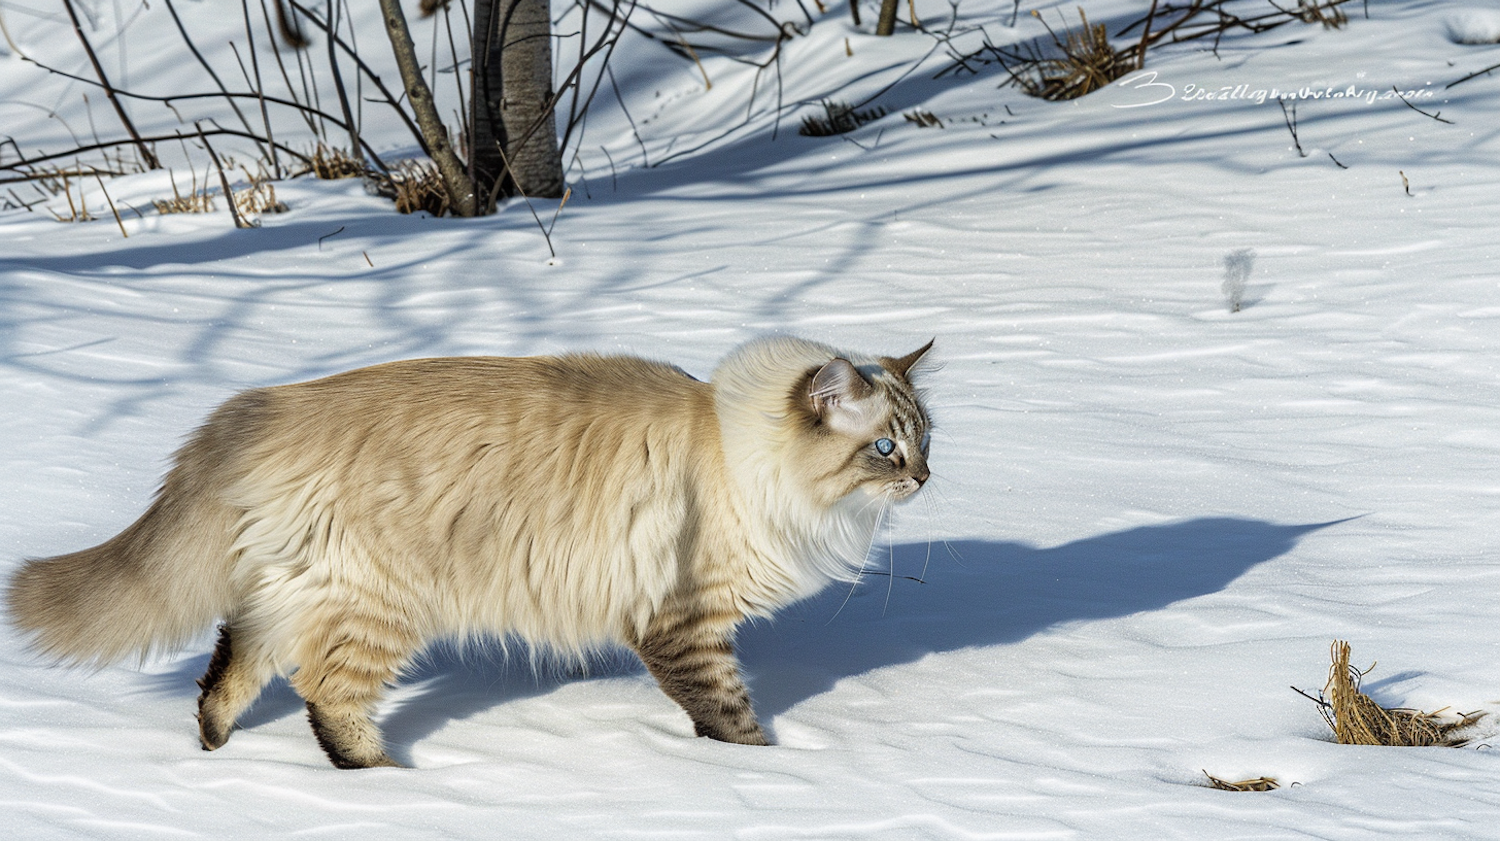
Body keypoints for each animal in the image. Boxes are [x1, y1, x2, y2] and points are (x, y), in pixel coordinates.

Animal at [8, 334, 924, 767]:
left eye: (925, 438)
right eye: (885, 448)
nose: (924, 478)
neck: (736, 451)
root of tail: (251, 409)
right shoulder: (684, 621)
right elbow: (731, 714)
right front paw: (758, 774)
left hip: (297, 590)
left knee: (232, 667)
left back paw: (211, 755)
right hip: (377, 603)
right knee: (325, 695)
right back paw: (391, 778)